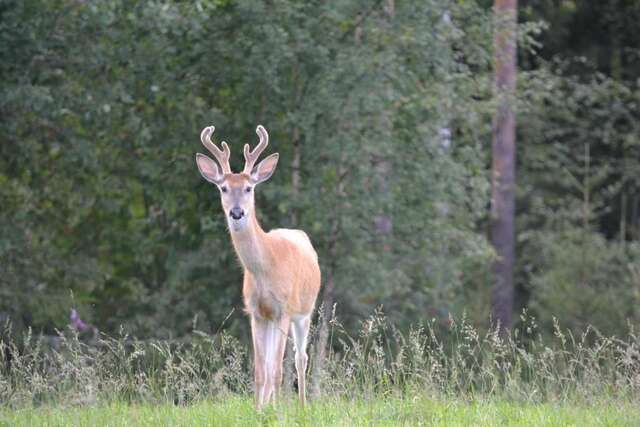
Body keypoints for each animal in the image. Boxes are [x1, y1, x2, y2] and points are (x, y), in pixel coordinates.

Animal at [194, 123, 320, 408]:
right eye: (223, 188)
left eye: (249, 188)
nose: (237, 212)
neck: (267, 269)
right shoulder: (255, 311)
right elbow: (261, 370)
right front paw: (259, 410)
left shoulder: (284, 308)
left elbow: (278, 369)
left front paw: (279, 411)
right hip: (272, 320)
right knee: (274, 362)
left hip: (304, 312)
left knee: (300, 358)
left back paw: (302, 405)